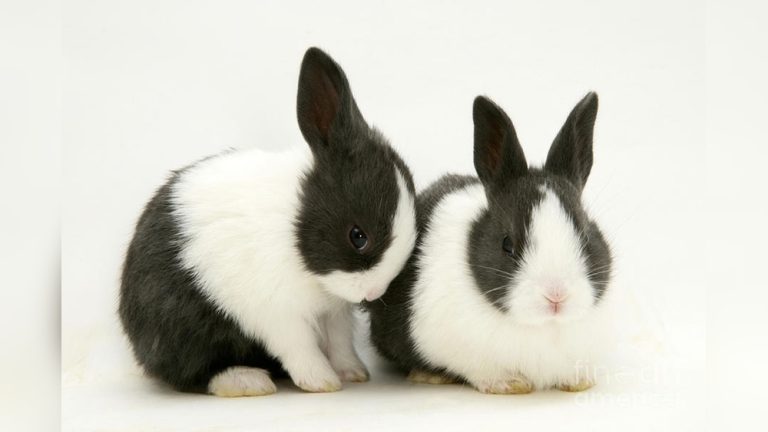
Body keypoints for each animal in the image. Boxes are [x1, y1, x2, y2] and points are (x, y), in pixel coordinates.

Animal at [119, 47, 418, 397]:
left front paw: (353, 372)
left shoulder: (334, 312)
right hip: (182, 329)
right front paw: (322, 381)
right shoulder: (278, 313)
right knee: (192, 372)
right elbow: (300, 347)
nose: (371, 293)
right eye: (358, 236)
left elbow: (340, 343)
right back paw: (247, 380)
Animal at [367, 93, 613, 394]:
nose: (556, 296)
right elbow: (481, 370)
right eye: (507, 245)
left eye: (586, 235)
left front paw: (578, 382)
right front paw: (511, 384)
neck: (543, 326)